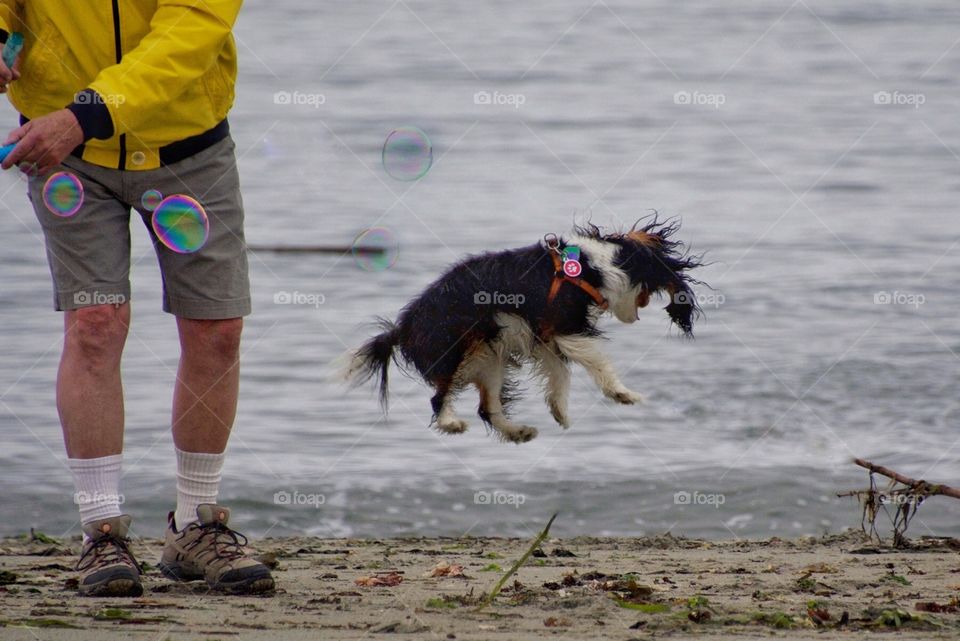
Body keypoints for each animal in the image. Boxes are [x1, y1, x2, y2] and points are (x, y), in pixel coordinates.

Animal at [342, 218, 700, 442]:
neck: (591, 267)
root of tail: (403, 327)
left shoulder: (545, 336)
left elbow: (559, 372)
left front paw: (560, 410)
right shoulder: (565, 327)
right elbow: (595, 361)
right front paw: (622, 393)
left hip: (489, 357)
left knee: (487, 408)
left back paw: (518, 432)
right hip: (456, 348)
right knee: (438, 398)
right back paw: (451, 423)